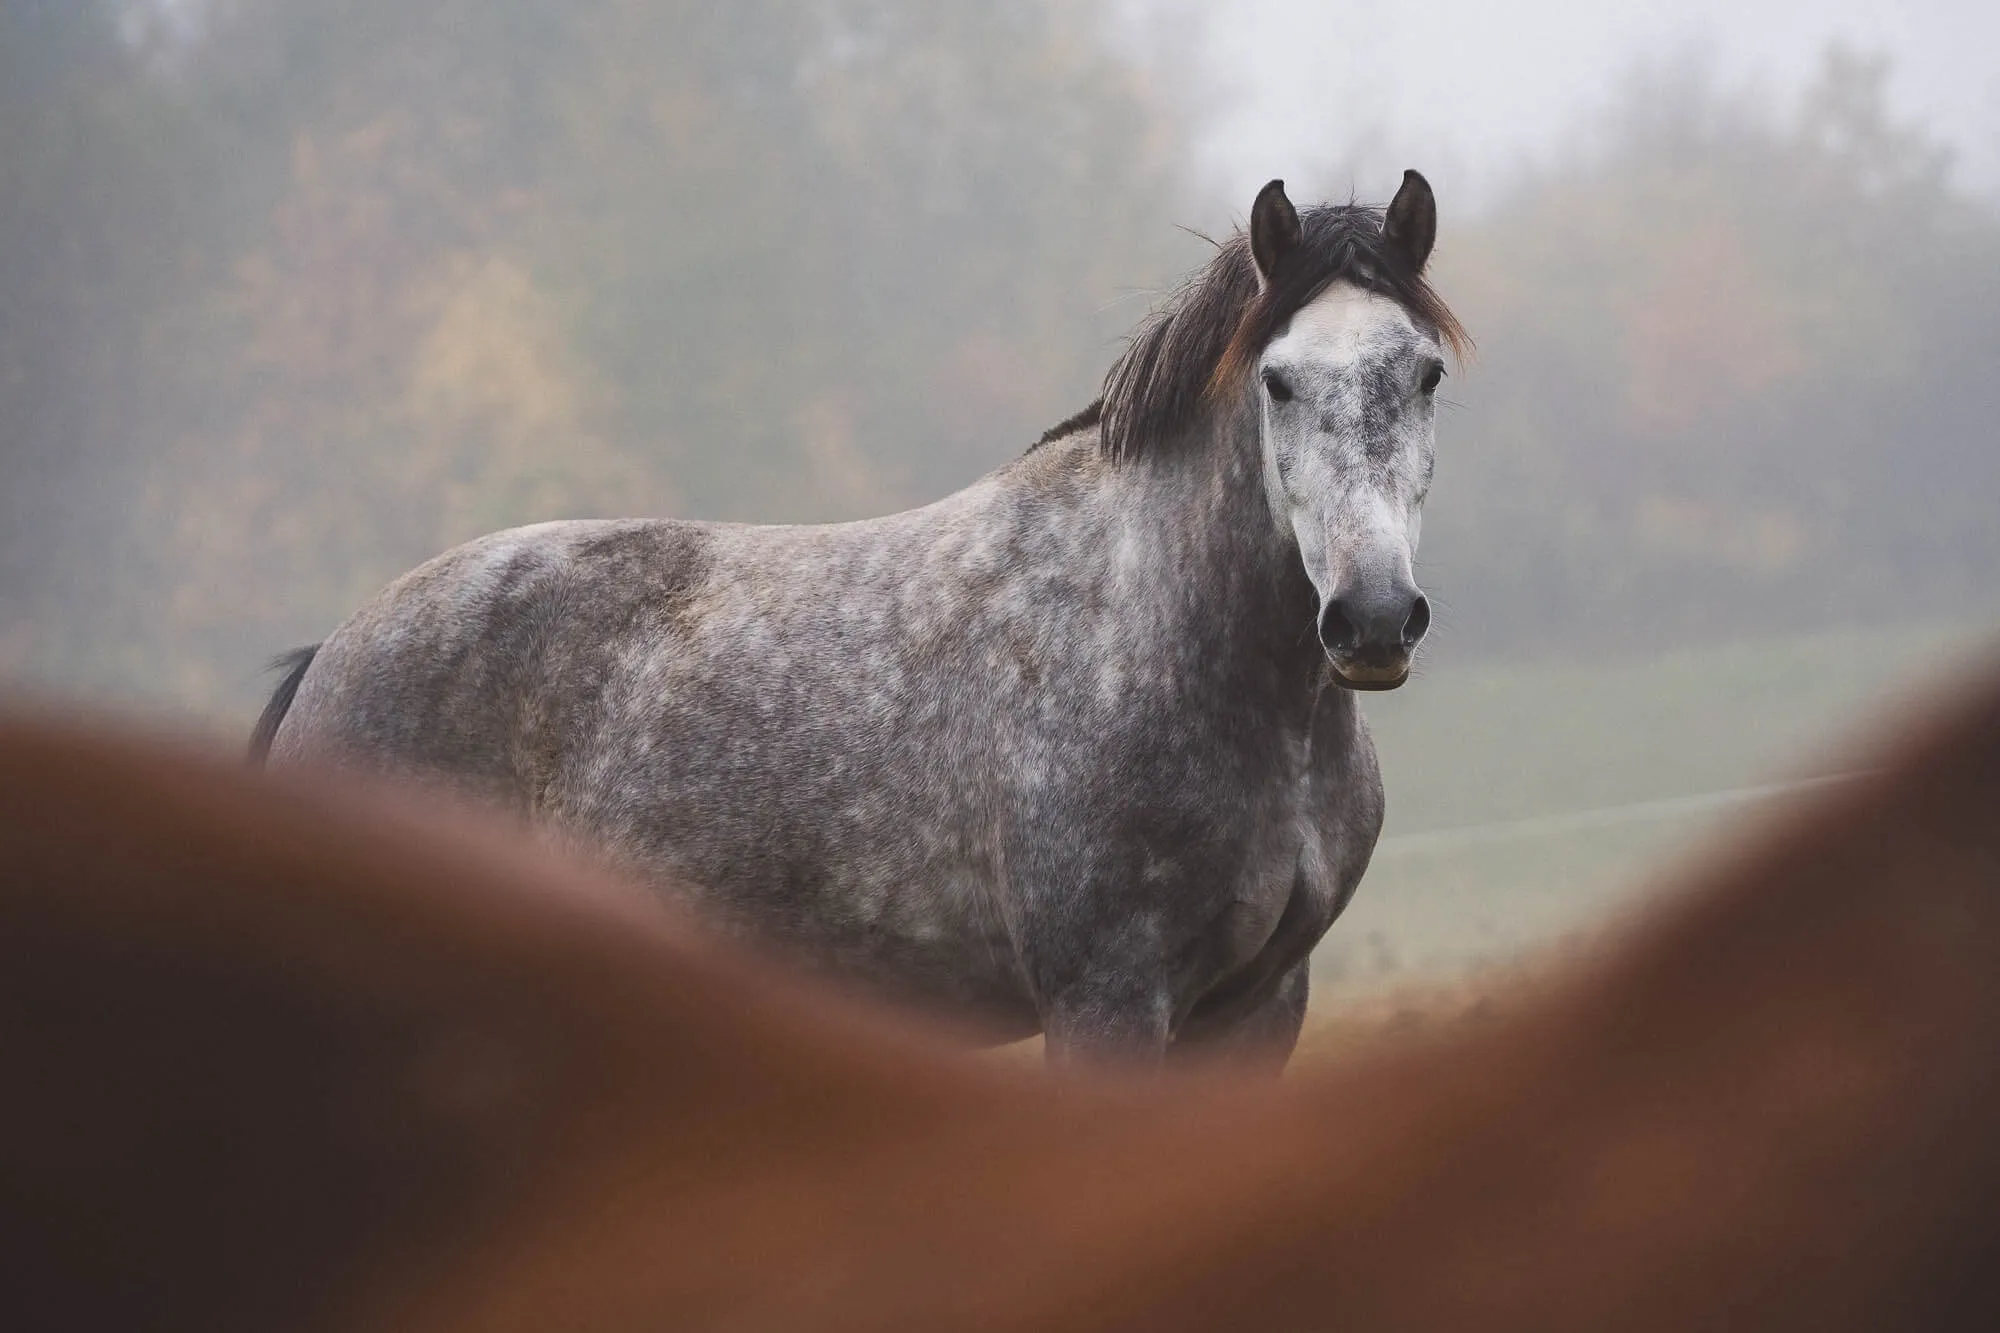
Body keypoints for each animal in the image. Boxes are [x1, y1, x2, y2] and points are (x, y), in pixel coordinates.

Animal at [250, 172, 1471, 1065]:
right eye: (1276, 380)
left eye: (1422, 376)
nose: (1370, 619)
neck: (1155, 636)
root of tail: (330, 663)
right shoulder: (1108, 1002)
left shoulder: (1255, 1010)